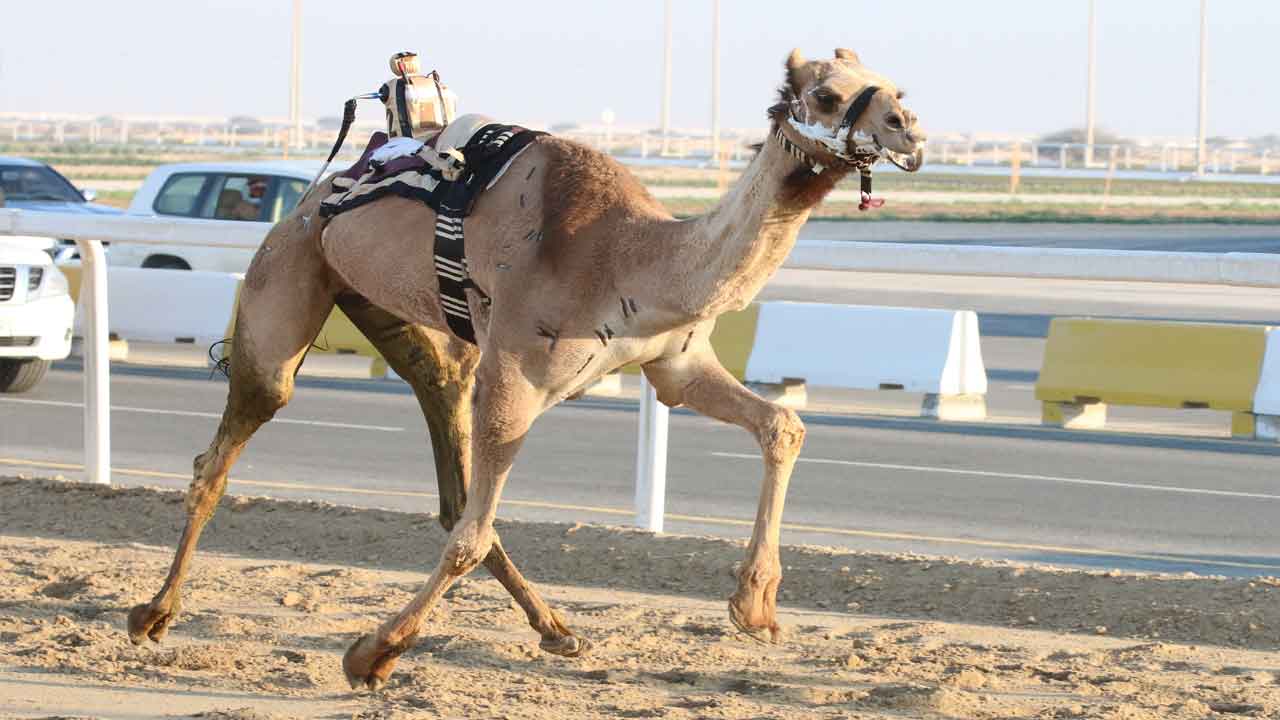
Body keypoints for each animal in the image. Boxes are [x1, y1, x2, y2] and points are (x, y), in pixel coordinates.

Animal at [125, 47, 926, 690]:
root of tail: (321, 189)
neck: (626, 257)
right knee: (228, 446)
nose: (909, 130)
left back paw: (559, 630)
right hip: (291, 273)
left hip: (411, 326)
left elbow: (784, 425)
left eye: (892, 84)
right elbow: (471, 535)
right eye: (827, 95)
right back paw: (152, 614)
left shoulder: (674, 362)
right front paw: (370, 655)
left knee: (446, 456)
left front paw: (755, 606)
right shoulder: (513, 369)